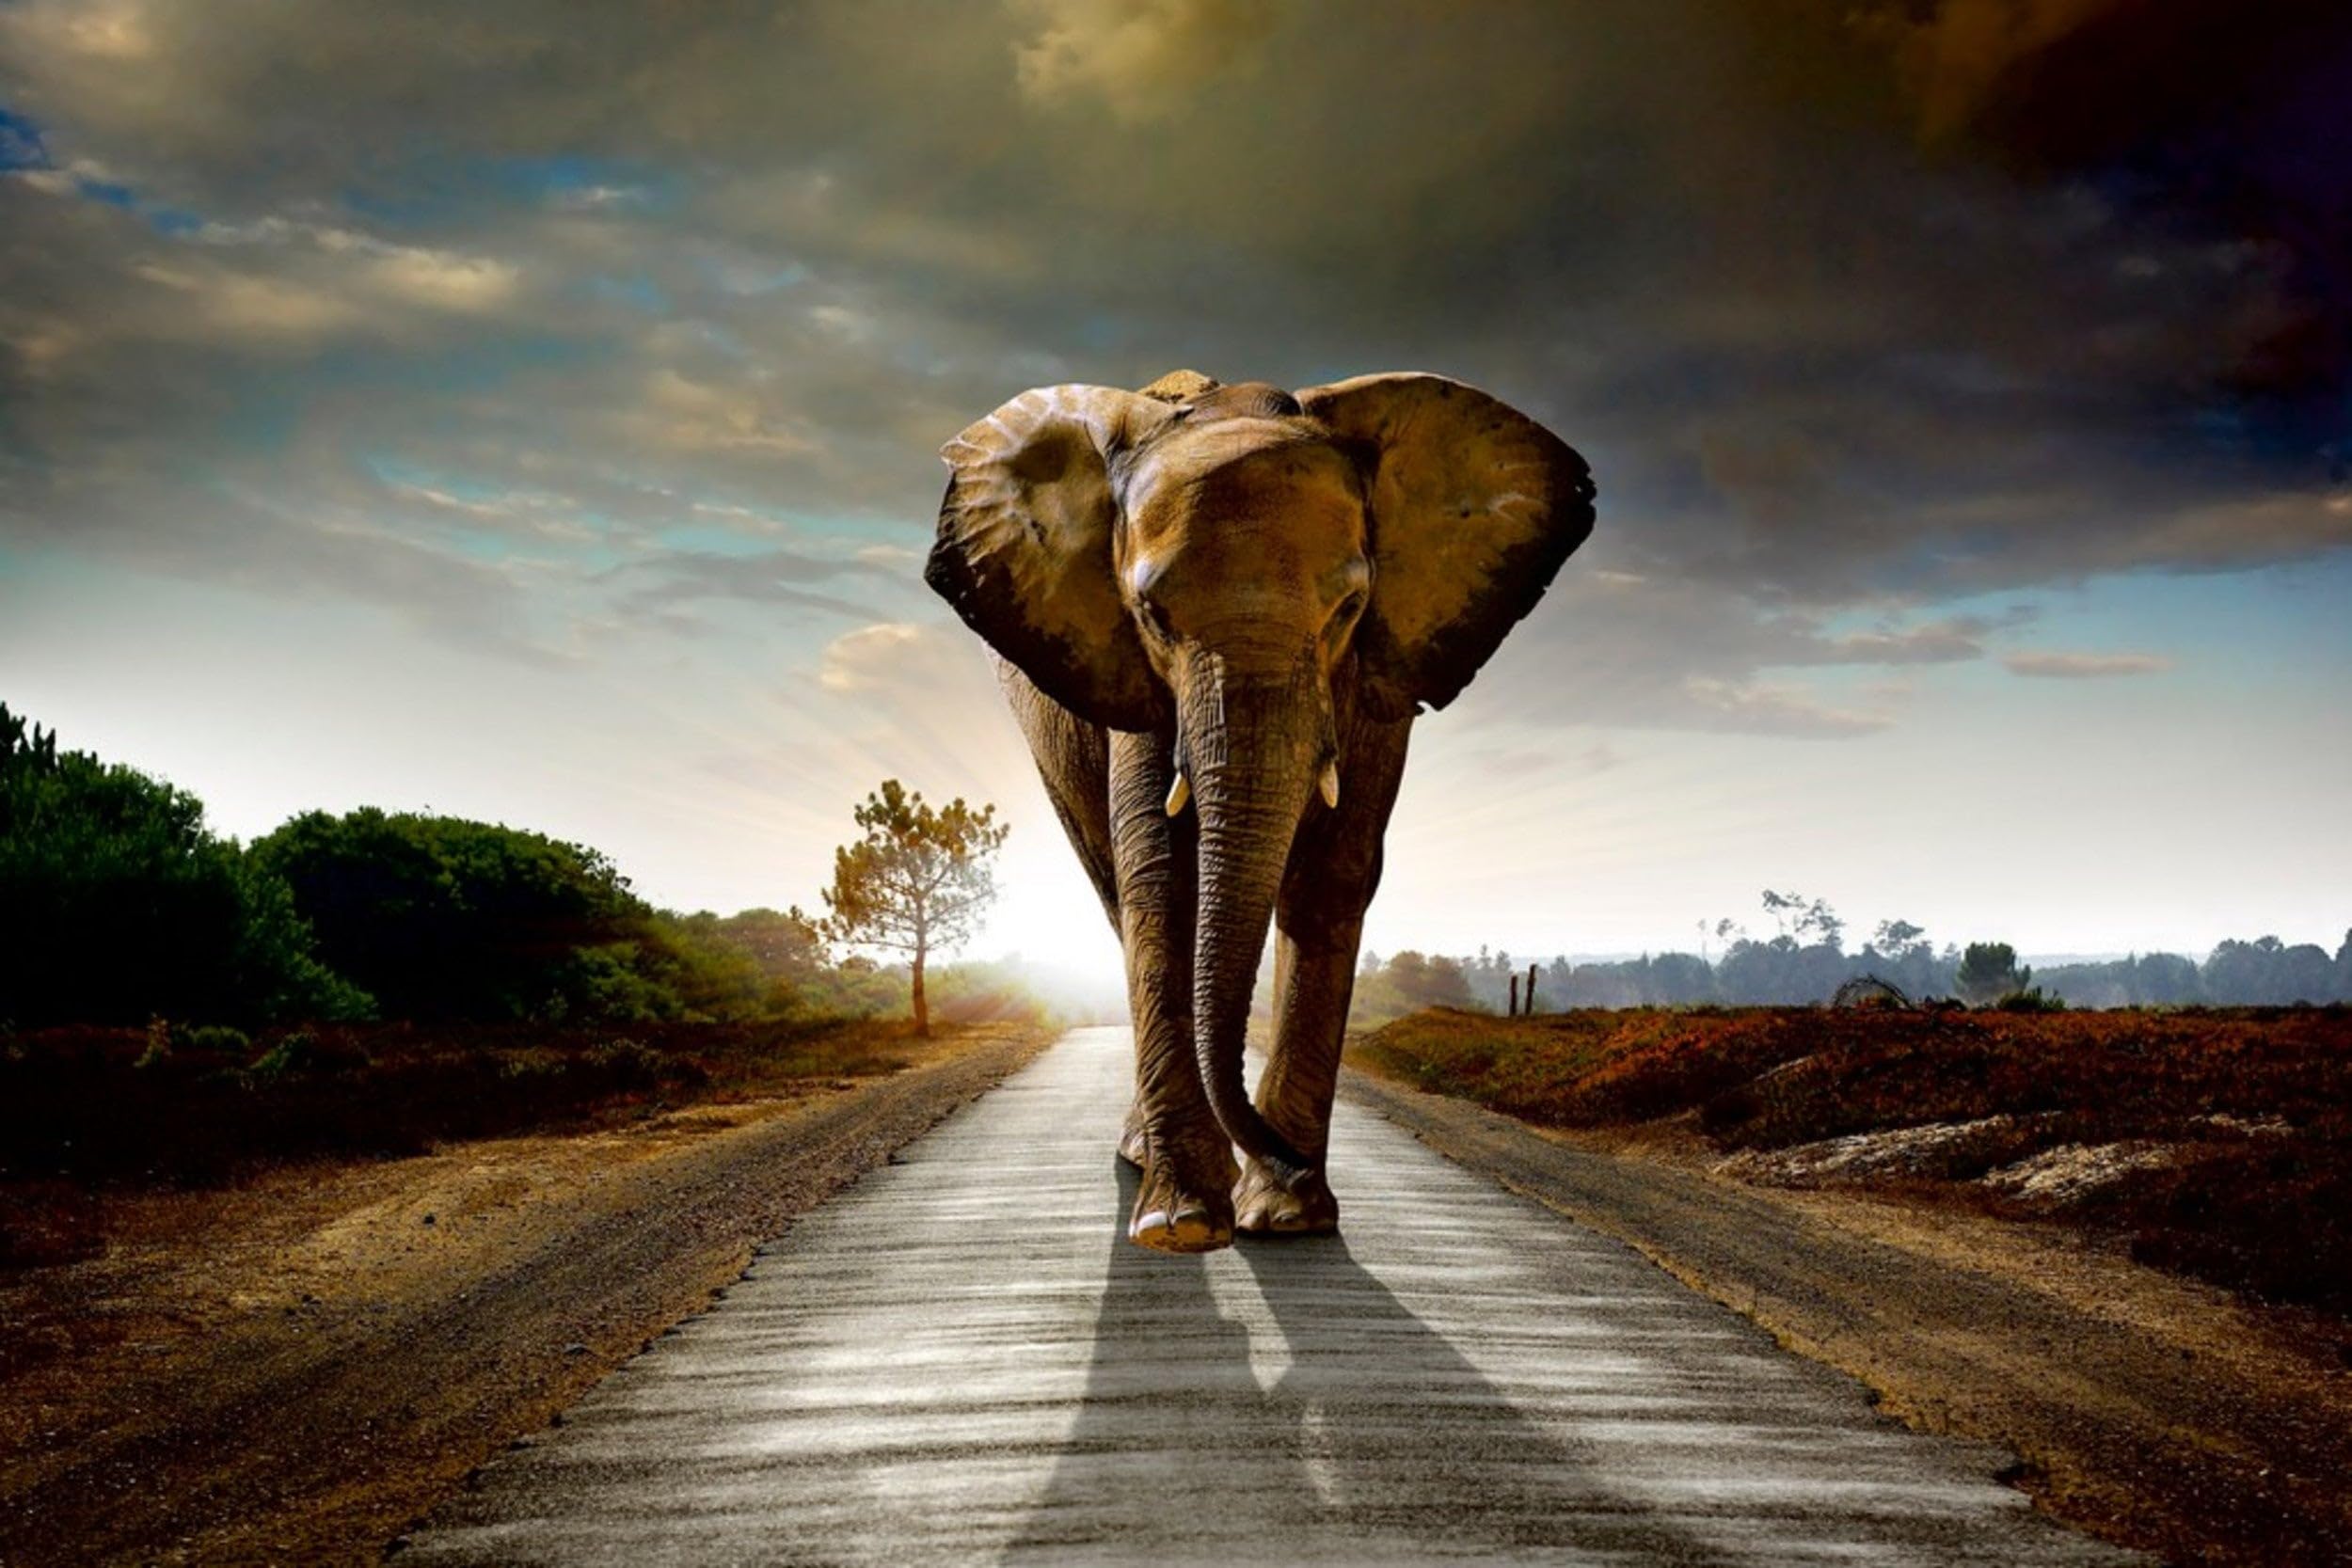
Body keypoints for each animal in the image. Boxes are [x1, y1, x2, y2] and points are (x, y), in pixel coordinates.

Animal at [925, 368, 1594, 1253]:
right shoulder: (1135, 680)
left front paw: (1287, 1216)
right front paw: (1182, 1224)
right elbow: (1161, 875)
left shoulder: (1377, 675)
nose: (1283, 1157)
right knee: (1114, 889)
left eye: (1349, 608)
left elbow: (1333, 875)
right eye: (1153, 614)